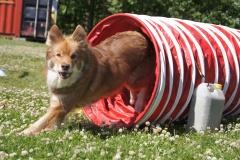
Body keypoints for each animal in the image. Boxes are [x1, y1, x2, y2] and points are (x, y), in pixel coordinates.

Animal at [22, 24, 156, 135]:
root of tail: (140, 35)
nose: (65, 66)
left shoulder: (61, 106)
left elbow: (42, 121)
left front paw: (25, 132)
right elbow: (54, 122)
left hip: (134, 79)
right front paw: (50, 131)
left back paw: (139, 104)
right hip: (126, 78)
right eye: (58, 55)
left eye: (74, 56)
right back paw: (133, 100)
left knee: (146, 84)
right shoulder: (58, 103)